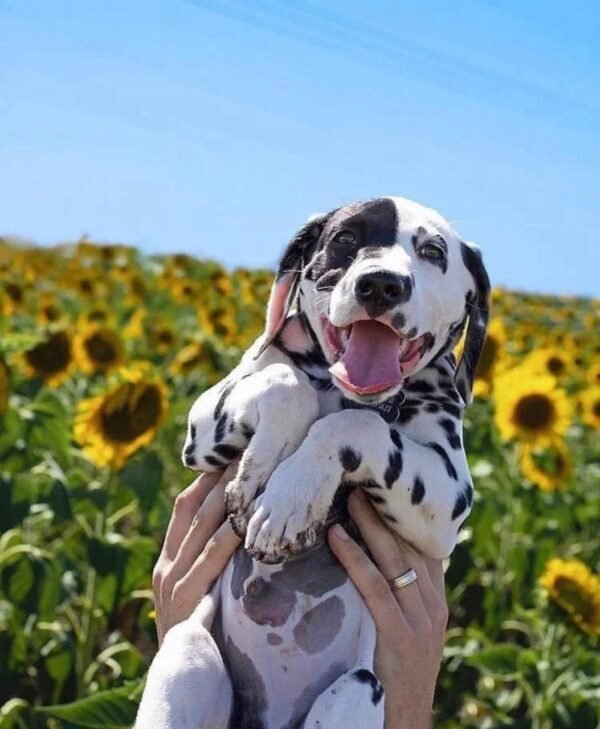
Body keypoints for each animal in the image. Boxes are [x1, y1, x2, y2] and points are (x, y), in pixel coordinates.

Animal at [135, 196, 488, 728]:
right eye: (345, 238)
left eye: (433, 251)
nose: (380, 284)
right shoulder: (203, 424)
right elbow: (287, 385)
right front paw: (265, 474)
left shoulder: (449, 499)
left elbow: (354, 426)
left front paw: (287, 503)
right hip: (187, 655)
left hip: (357, 690)